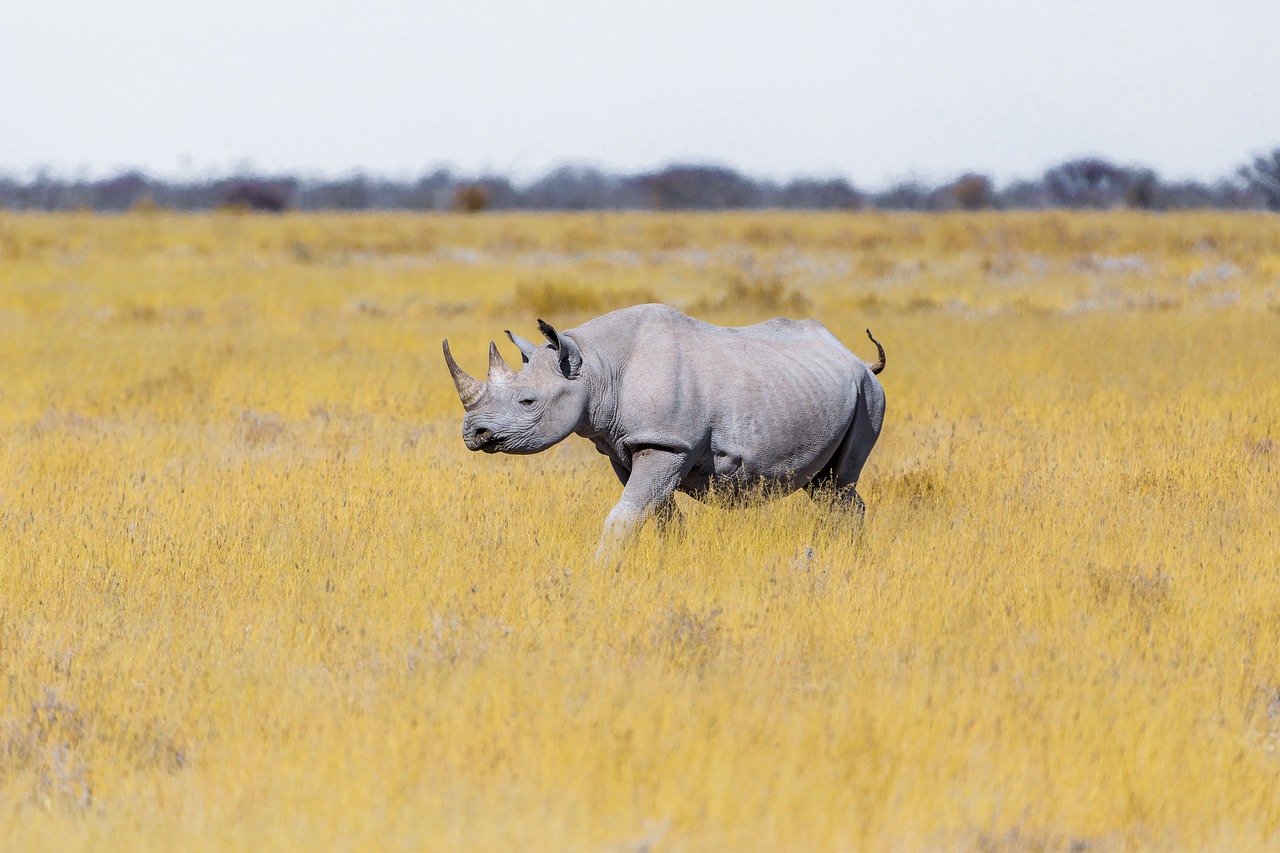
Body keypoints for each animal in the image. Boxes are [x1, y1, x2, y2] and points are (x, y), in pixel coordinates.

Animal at [445, 302, 885, 555]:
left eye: (528, 402)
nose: (474, 434)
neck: (596, 368)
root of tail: (854, 356)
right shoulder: (624, 446)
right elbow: (659, 517)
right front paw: (674, 562)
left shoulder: (667, 444)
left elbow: (624, 517)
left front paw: (599, 575)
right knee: (827, 487)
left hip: (868, 393)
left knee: (838, 485)